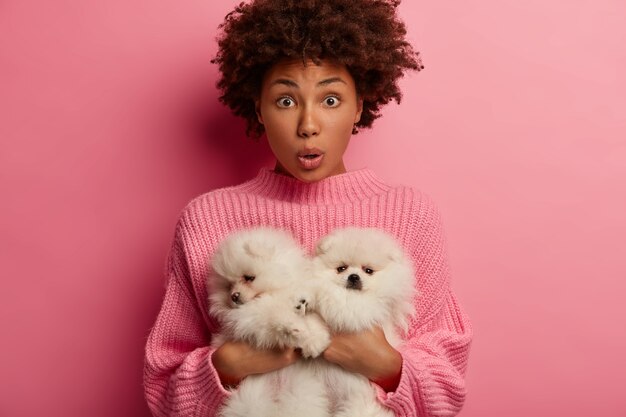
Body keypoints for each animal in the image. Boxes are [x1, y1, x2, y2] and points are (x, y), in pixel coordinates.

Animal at [207, 226, 332, 416]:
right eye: (228, 285)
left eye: (249, 277)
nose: (233, 296)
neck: (274, 292)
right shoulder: (251, 320)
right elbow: (275, 315)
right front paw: (293, 327)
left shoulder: (306, 294)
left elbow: (312, 318)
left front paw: (314, 340)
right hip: (250, 399)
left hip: (301, 396)